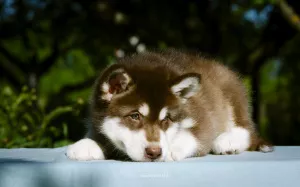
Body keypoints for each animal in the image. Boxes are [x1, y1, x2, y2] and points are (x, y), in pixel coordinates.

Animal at [67, 50, 274, 162]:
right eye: (135, 116)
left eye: (166, 119)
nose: (155, 153)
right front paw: (86, 144)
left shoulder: (203, 115)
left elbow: (196, 135)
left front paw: (173, 147)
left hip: (231, 91)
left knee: (246, 128)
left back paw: (228, 140)